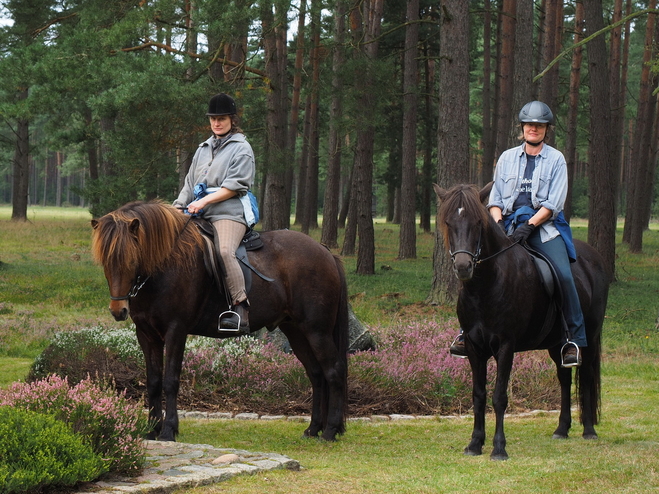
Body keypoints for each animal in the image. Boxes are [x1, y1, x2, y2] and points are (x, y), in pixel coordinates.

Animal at [94, 199, 350, 442]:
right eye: (105, 262)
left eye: (131, 259)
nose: (118, 310)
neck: (165, 266)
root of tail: (325, 251)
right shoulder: (147, 334)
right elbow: (154, 382)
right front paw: (151, 430)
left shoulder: (176, 331)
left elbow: (170, 381)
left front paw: (168, 431)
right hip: (296, 331)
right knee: (316, 374)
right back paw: (313, 428)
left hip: (317, 331)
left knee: (333, 372)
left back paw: (330, 431)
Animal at [436, 183, 612, 462]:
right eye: (448, 222)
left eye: (477, 222)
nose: (463, 267)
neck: (486, 285)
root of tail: (594, 257)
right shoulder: (474, 348)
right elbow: (478, 395)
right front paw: (474, 444)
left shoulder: (506, 346)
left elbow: (499, 397)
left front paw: (498, 448)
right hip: (557, 343)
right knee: (564, 378)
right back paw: (561, 429)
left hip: (590, 337)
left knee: (584, 376)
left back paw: (588, 430)